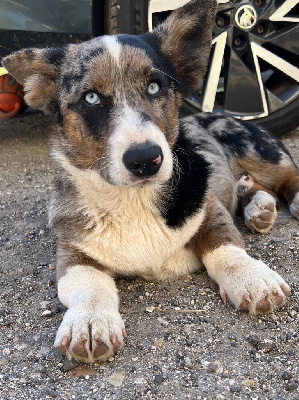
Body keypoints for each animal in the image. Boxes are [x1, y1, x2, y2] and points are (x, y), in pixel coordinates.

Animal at [2, 0, 299, 364]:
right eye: (90, 98)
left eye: (155, 86)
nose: (145, 159)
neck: (132, 199)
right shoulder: (72, 250)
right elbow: (88, 281)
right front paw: (89, 321)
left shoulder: (209, 207)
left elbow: (225, 246)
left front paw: (254, 279)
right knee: (254, 188)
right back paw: (260, 210)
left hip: (256, 150)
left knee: (286, 178)